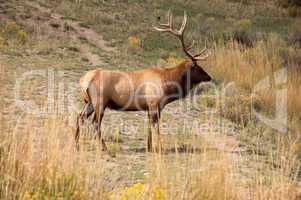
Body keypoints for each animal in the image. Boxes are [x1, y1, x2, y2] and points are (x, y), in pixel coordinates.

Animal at [75, 10, 211, 152]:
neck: (167, 85)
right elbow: (156, 127)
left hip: (89, 102)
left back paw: (76, 144)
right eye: (198, 67)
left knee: (80, 117)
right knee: (95, 122)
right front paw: (159, 147)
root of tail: (84, 80)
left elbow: (149, 127)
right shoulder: (153, 103)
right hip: (100, 101)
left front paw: (149, 147)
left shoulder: (151, 107)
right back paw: (103, 147)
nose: (209, 76)